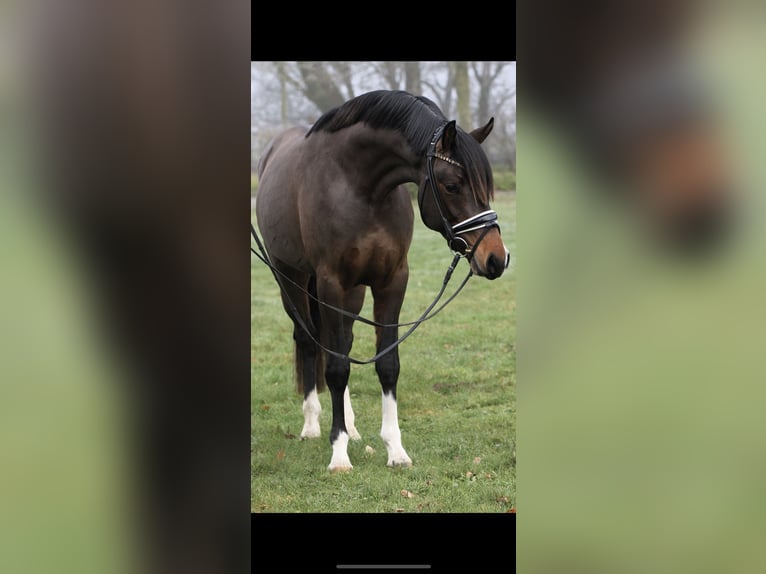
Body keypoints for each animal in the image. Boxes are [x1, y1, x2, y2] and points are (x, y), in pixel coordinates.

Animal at [254, 90, 509, 472]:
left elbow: (387, 364)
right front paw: (339, 453)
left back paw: (350, 424)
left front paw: (395, 449)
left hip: (353, 292)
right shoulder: (331, 282)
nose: (495, 258)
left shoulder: (391, 281)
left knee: (339, 343)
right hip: (291, 277)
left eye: (487, 187)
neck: (357, 187)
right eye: (452, 185)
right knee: (310, 341)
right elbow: (337, 368)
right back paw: (313, 424)